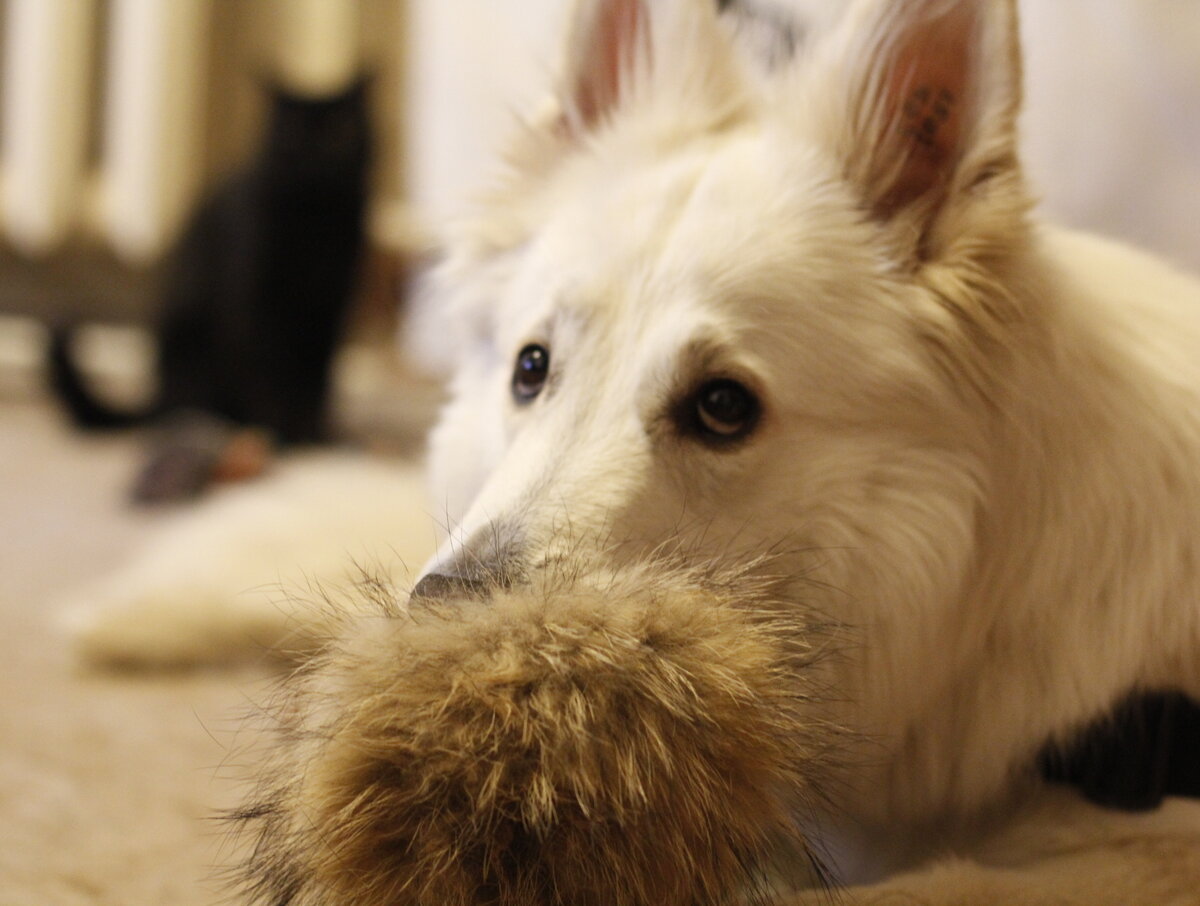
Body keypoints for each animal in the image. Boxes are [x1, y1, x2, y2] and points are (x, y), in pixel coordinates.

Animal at [49, 78, 372, 451]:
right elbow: (270, 377)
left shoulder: (329, 310)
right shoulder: (254, 306)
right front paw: (281, 434)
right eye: (291, 133)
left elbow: (316, 382)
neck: (317, 223)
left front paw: (314, 436)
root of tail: (158, 395)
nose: (320, 153)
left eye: (342, 130)